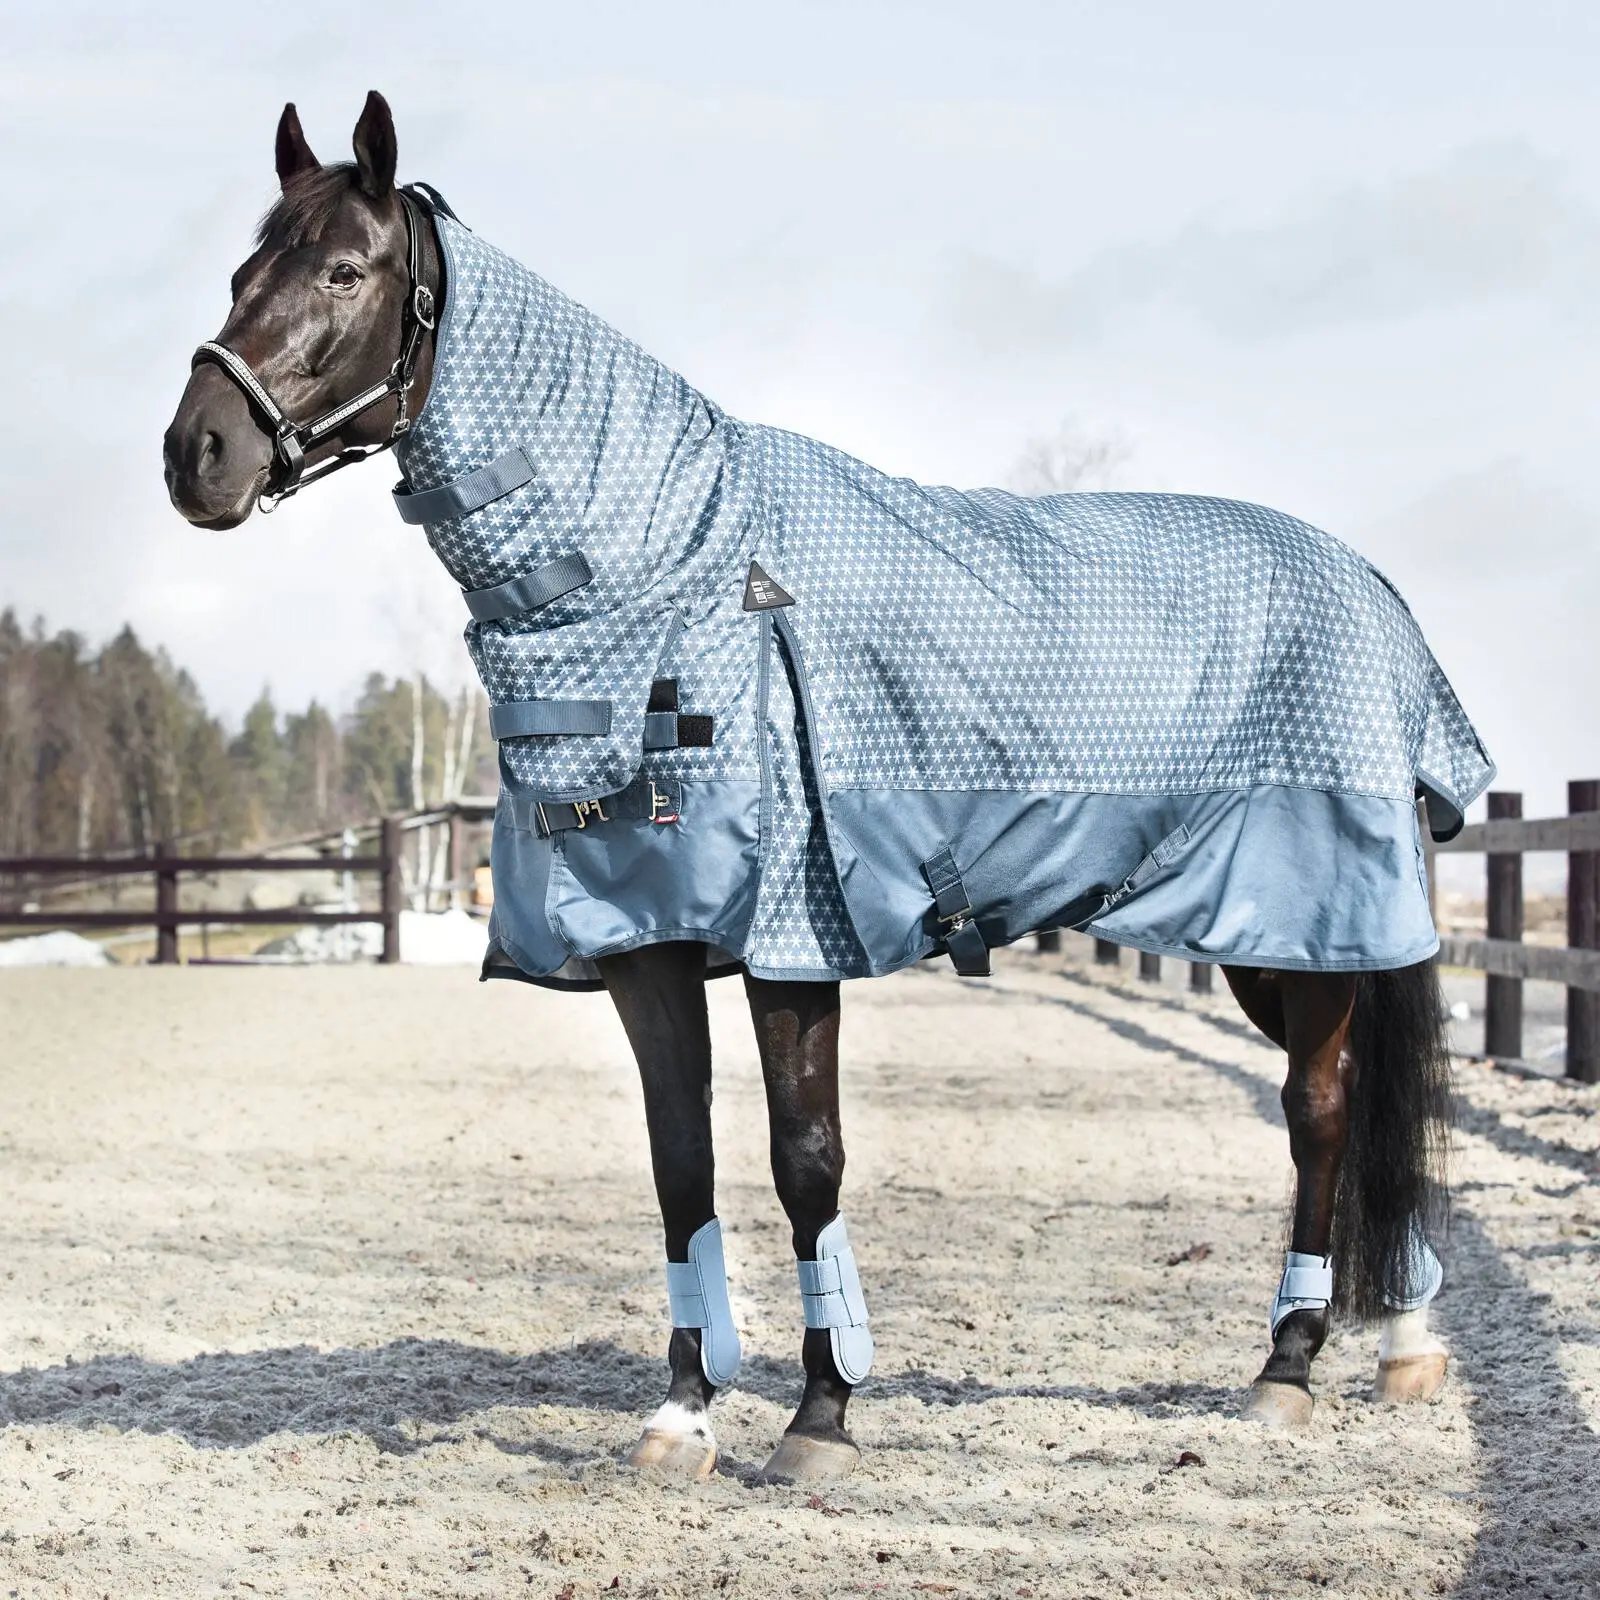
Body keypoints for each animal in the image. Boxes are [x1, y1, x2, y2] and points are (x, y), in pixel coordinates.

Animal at [163, 91, 1481, 1485]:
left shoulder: (796, 940)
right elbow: (679, 1163)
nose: (197, 453)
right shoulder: (642, 945)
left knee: (1320, 1110)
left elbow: (807, 1158)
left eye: (342, 272)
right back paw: (1394, 1339)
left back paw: (1292, 1364)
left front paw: (820, 1412)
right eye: (243, 273)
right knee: (1349, 1108)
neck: (675, 575)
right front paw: (683, 1410)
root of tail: (1371, 588)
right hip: (1269, 942)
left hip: (1309, 928)